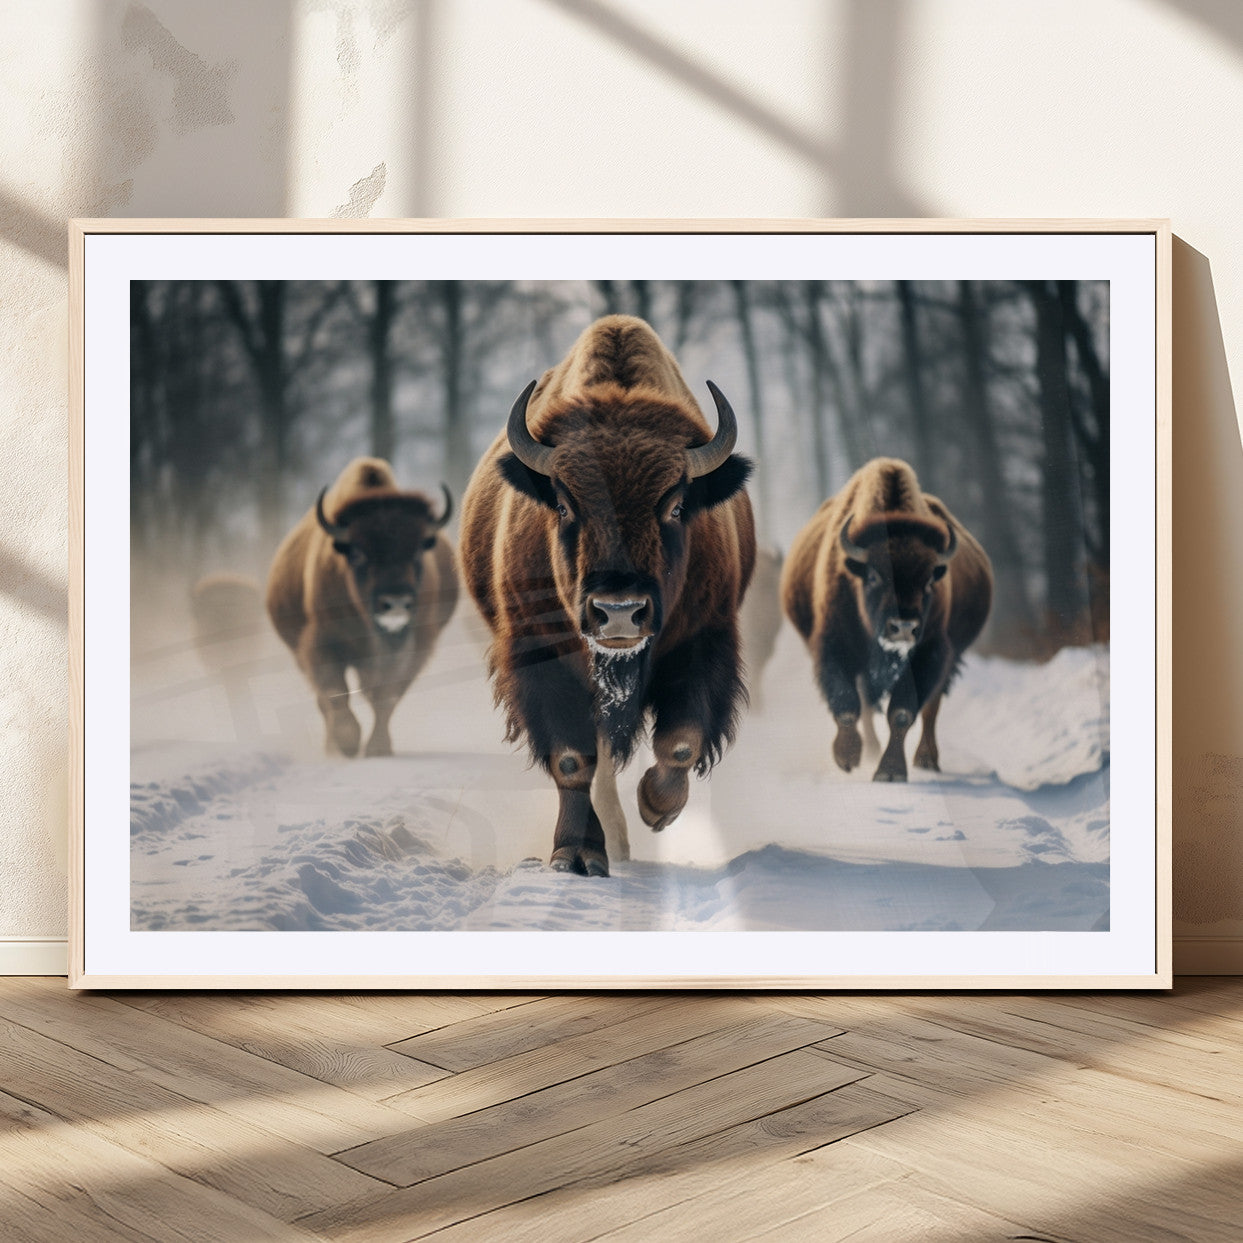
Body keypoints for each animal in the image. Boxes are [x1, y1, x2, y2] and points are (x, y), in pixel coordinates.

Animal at [266, 457, 457, 757]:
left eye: (417, 551)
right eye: (357, 553)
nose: (395, 602)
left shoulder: (415, 647)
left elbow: (387, 697)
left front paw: (378, 747)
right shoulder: (321, 643)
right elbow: (335, 692)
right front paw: (347, 742)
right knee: (325, 700)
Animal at [459, 315, 756, 876]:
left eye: (676, 506)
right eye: (562, 503)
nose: (619, 613)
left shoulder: (704, 642)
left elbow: (680, 742)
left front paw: (657, 809)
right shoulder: (543, 654)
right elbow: (572, 759)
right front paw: (575, 854)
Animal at [781, 457, 992, 782]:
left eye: (929, 581)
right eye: (873, 576)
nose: (903, 628)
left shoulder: (929, 653)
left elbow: (902, 713)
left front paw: (890, 772)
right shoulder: (835, 646)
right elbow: (847, 704)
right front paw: (847, 757)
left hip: (949, 658)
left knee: (931, 707)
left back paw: (926, 760)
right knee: (868, 704)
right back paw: (870, 750)